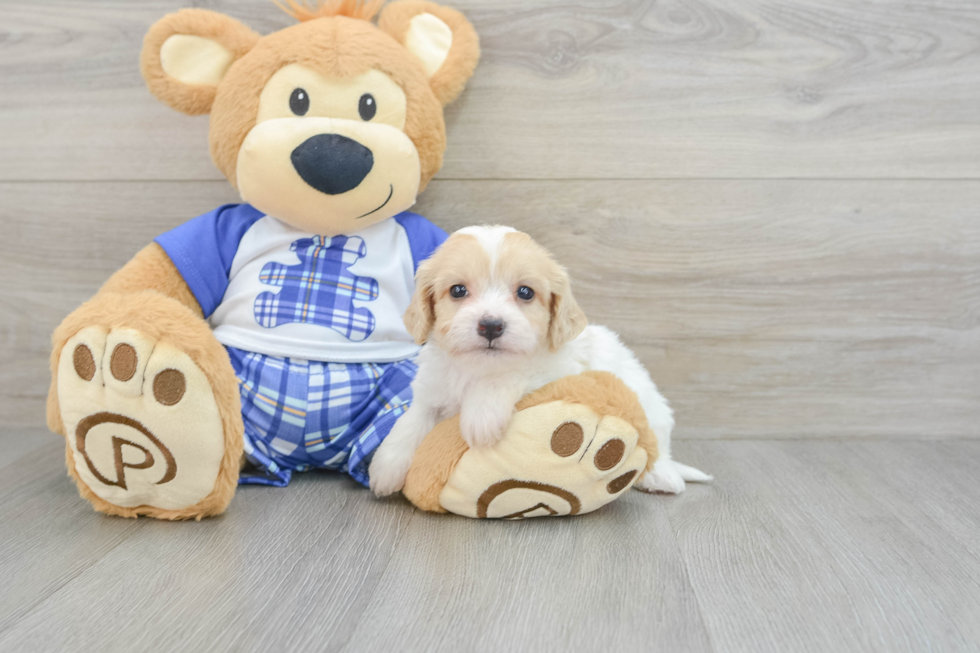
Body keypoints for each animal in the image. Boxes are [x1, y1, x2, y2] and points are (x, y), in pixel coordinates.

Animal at [368, 224, 712, 494]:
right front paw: (386, 467)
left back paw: (662, 476)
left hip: (652, 410)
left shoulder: (557, 370)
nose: (491, 325)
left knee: (659, 448)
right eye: (457, 290)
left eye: (525, 292)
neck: (477, 368)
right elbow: (412, 420)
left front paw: (481, 417)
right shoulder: (432, 387)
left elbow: (513, 374)